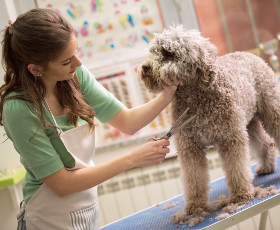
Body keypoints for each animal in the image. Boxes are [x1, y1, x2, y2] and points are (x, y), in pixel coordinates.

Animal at [139, 25, 278, 214]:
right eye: (152, 51)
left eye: (168, 53)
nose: (145, 67)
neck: (195, 99)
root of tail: (249, 54)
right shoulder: (189, 147)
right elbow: (194, 177)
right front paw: (196, 204)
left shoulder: (230, 139)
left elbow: (237, 168)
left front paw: (241, 194)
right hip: (249, 124)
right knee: (265, 143)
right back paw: (267, 167)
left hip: (271, 112)